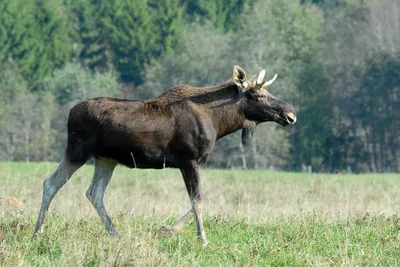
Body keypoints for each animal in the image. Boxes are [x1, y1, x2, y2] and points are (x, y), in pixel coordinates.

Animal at [32, 65, 296, 245]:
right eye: (259, 95)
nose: (291, 114)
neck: (219, 122)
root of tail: (70, 112)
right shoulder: (189, 160)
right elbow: (198, 201)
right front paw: (202, 239)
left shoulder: (189, 163)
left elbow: (198, 201)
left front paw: (166, 229)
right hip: (77, 151)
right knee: (51, 183)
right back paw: (38, 231)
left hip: (106, 159)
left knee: (93, 193)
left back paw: (114, 232)